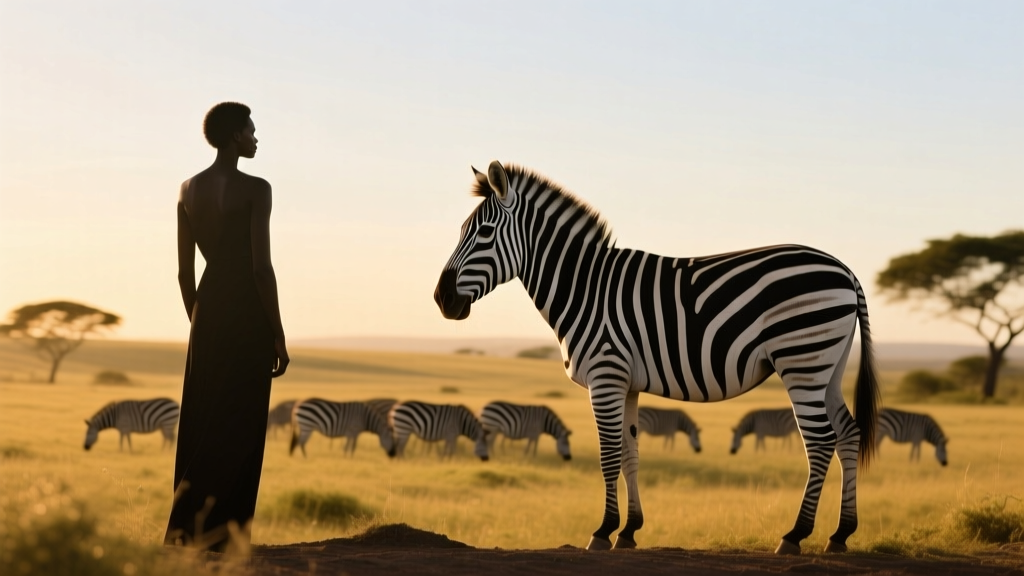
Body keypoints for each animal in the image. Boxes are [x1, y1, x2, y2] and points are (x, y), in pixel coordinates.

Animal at [434, 161, 879, 555]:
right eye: (462, 231)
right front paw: (630, 531)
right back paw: (841, 534)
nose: (442, 299)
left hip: (800, 361)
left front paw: (602, 531)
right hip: (827, 367)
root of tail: (846, 271)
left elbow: (608, 455)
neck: (584, 289)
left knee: (820, 441)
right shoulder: (627, 383)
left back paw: (794, 535)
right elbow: (631, 454)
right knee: (848, 434)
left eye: (484, 232)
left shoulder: (605, 376)